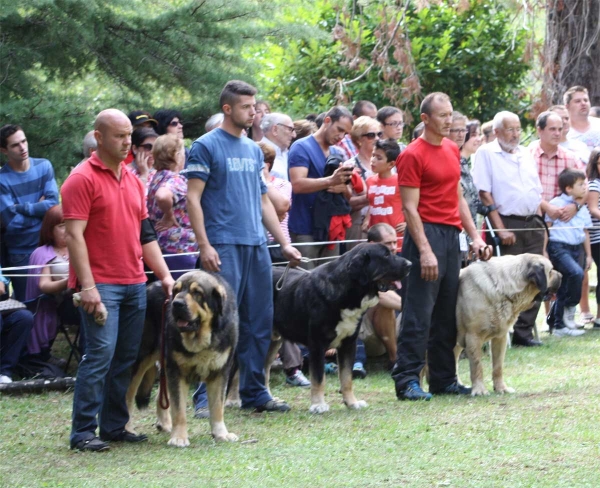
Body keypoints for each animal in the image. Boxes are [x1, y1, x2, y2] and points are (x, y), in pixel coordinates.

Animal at [125, 270, 238, 446]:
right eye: (176, 290)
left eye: (197, 293)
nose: (176, 303)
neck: (201, 339)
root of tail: (149, 286)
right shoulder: (177, 372)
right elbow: (179, 409)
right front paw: (179, 437)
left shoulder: (220, 372)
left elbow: (218, 407)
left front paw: (221, 434)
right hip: (141, 359)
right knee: (128, 397)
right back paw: (128, 429)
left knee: (161, 396)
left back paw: (164, 424)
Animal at [270, 243, 410, 412]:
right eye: (386, 255)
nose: (410, 264)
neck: (348, 293)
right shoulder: (317, 345)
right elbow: (319, 378)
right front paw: (318, 404)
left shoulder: (348, 344)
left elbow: (346, 377)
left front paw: (352, 402)